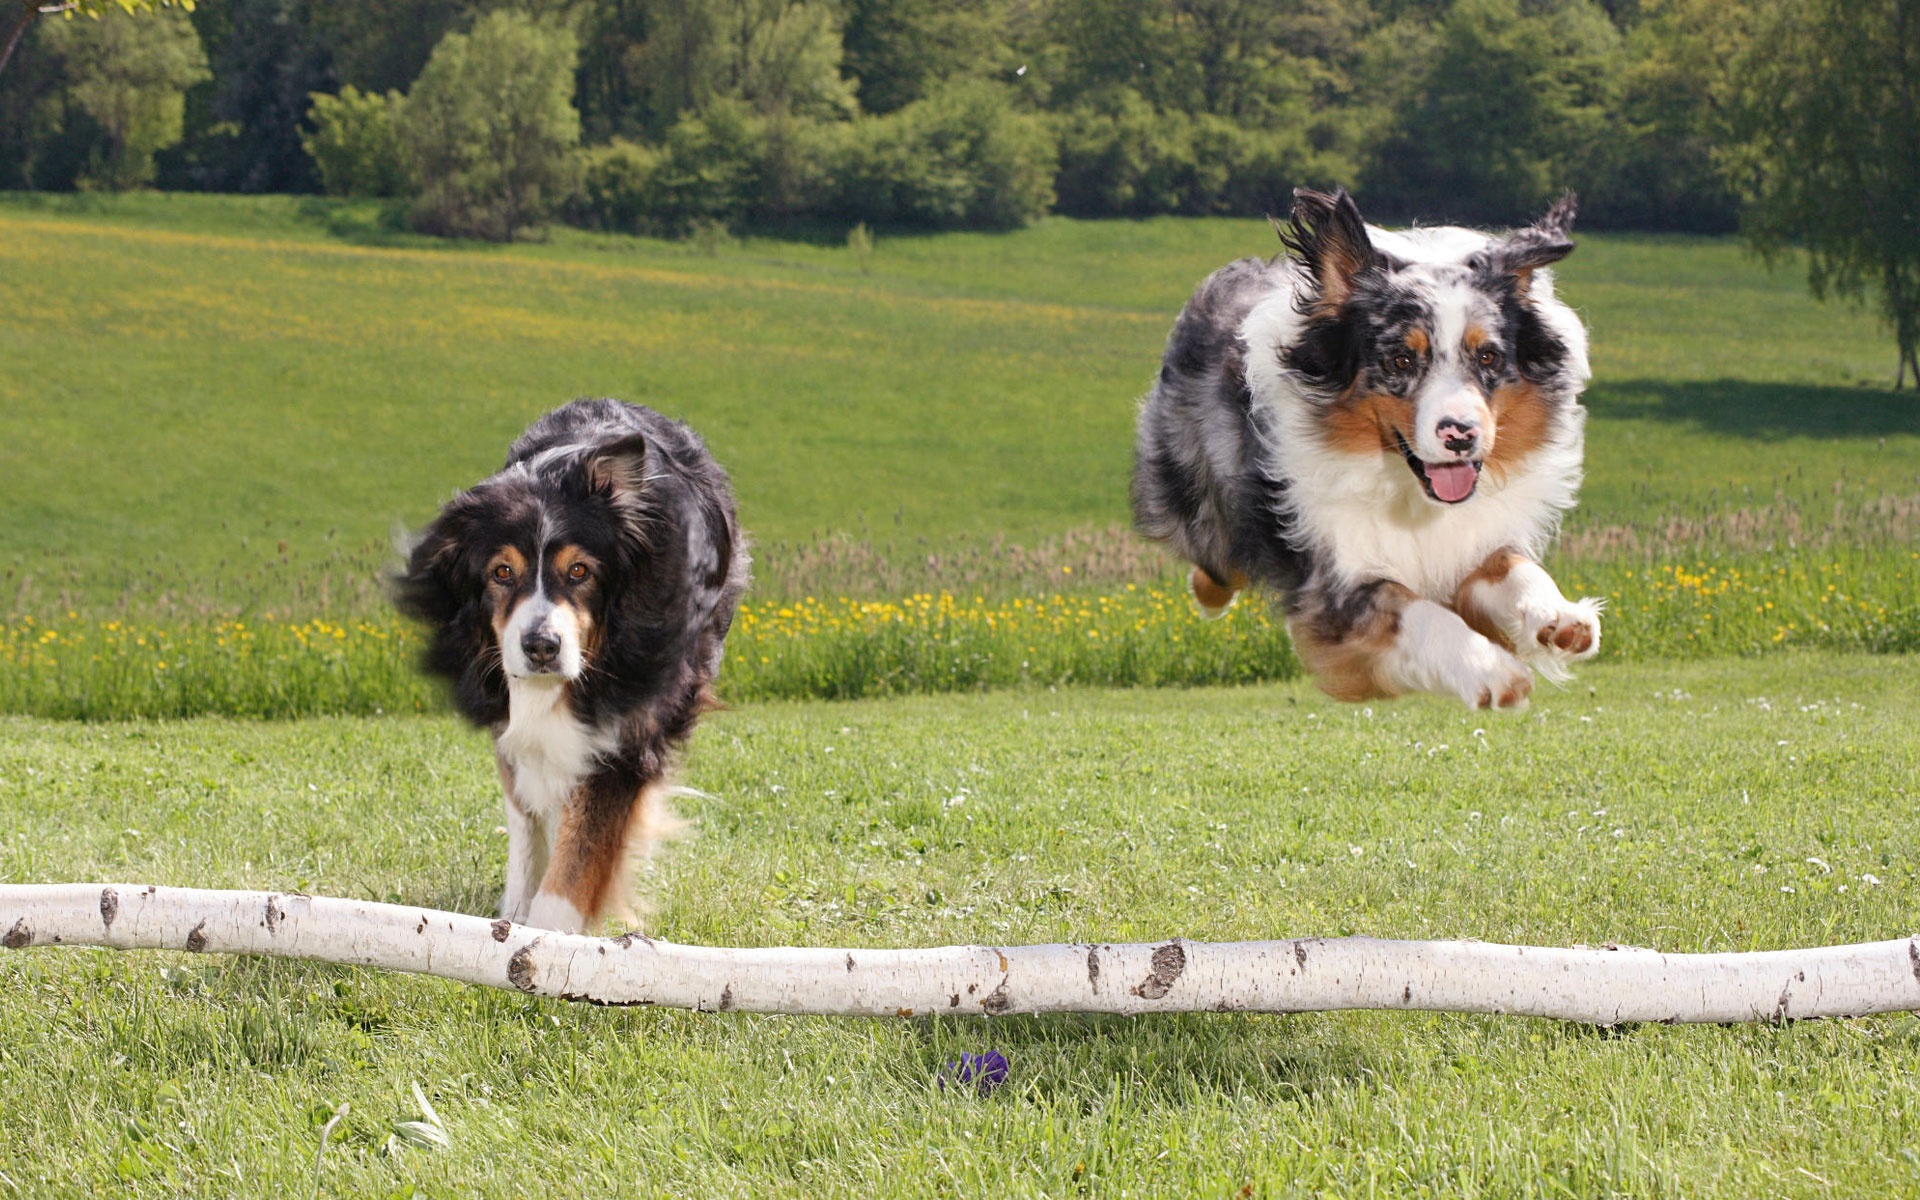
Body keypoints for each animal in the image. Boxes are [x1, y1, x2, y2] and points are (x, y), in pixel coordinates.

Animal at [393, 397, 744, 933]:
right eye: (501, 572)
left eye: (580, 571)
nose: (542, 647)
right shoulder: (509, 713)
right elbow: (525, 810)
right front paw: (516, 915)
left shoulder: (630, 729)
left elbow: (583, 844)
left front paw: (549, 935)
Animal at [1128, 189, 1597, 710]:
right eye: (1400, 360)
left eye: (1489, 356)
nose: (1461, 435)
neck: (1408, 490)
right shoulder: (1337, 583)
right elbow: (1416, 612)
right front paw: (1491, 670)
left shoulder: (1471, 542)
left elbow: (1514, 568)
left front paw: (1558, 617)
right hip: (1199, 499)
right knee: (1217, 563)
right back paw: (1210, 595)